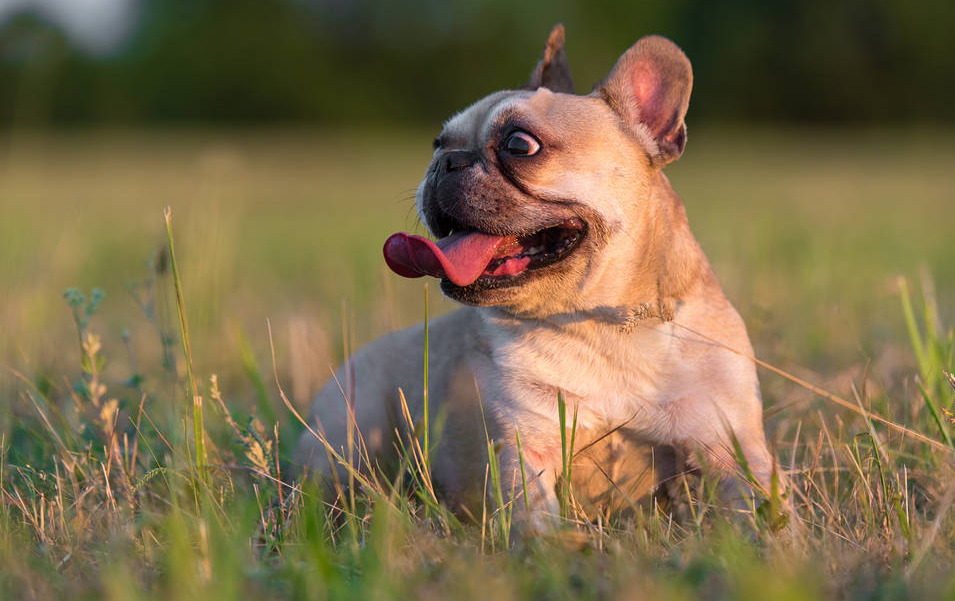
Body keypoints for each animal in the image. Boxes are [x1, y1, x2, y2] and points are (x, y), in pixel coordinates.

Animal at [296, 24, 780, 528]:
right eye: (438, 143)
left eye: (519, 145)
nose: (445, 162)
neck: (603, 321)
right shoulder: (524, 446)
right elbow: (533, 513)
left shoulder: (730, 446)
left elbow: (759, 508)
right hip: (345, 434)